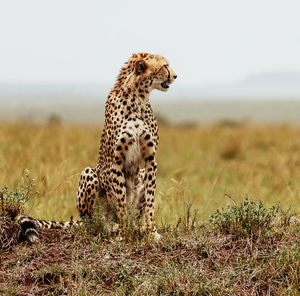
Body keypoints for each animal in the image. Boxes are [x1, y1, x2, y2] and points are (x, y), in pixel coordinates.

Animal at [18, 52, 176, 243]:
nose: (175, 76)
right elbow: (121, 201)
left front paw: (151, 232)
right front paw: (123, 234)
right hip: (89, 173)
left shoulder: (150, 159)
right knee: (94, 221)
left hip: (141, 174)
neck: (138, 97)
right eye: (165, 66)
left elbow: (150, 200)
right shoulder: (116, 161)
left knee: (132, 216)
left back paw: (135, 227)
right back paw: (110, 226)